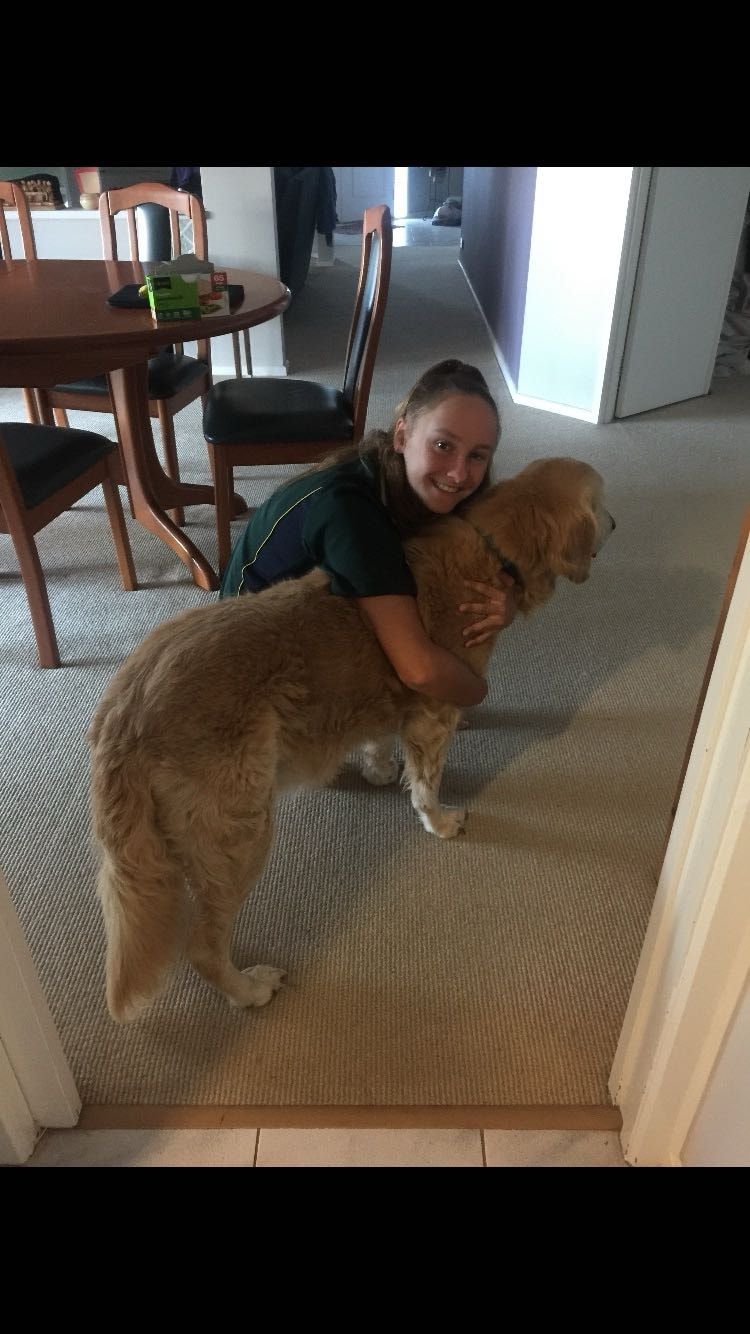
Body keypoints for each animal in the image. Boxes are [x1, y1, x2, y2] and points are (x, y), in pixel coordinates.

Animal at [89, 456, 614, 1022]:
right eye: (602, 502)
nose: (615, 524)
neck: (492, 545)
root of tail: (123, 712)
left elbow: (380, 736)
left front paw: (378, 768)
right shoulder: (433, 710)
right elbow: (427, 783)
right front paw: (439, 820)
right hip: (238, 834)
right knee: (204, 948)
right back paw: (250, 988)